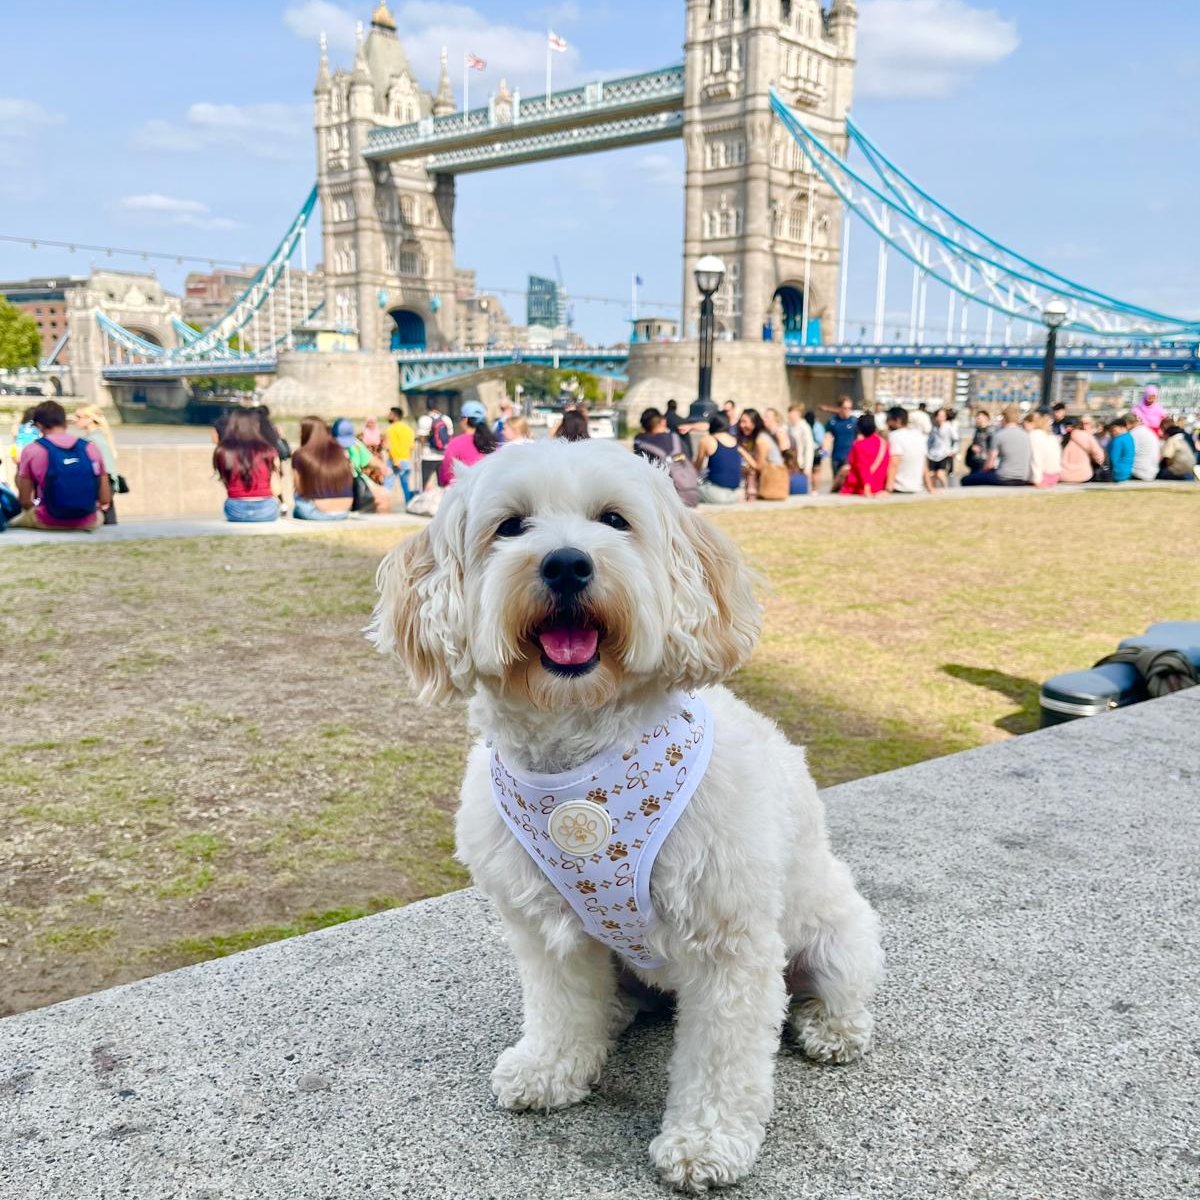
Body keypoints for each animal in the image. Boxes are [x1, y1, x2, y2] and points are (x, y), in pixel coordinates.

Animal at [372, 439, 883, 1190]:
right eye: (510, 526)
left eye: (614, 520)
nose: (566, 563)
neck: (582, 750)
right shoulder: (544, 924)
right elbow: (560, 1006)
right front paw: (551, 1067)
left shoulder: (729, 941)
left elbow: (721, 1059)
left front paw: (705, 1144)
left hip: (835, 933)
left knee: (838, 987)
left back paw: (831, 1028)